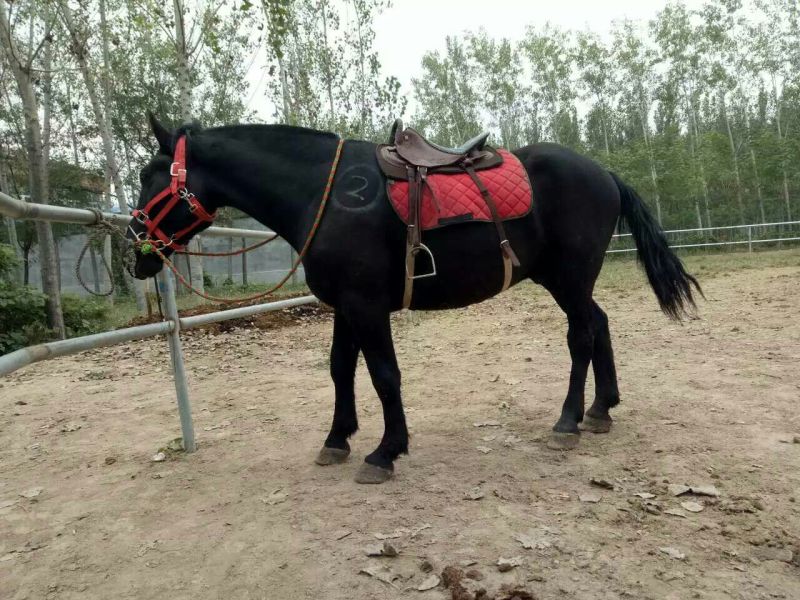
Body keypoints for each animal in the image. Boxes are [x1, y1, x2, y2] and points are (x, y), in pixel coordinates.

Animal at [128, 114, 700, 484]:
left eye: (148, 176)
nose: (137, 251)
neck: (324, 195)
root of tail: (604, 174)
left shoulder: (366, 305)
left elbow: (384, 375)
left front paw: (386, 451)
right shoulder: (344, 306)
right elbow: (340, 369)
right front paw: (337, 439)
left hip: (569, 279)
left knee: (581, 335)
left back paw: (568, 421)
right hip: (570, 283)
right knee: (599, 325)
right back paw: (602, 409)